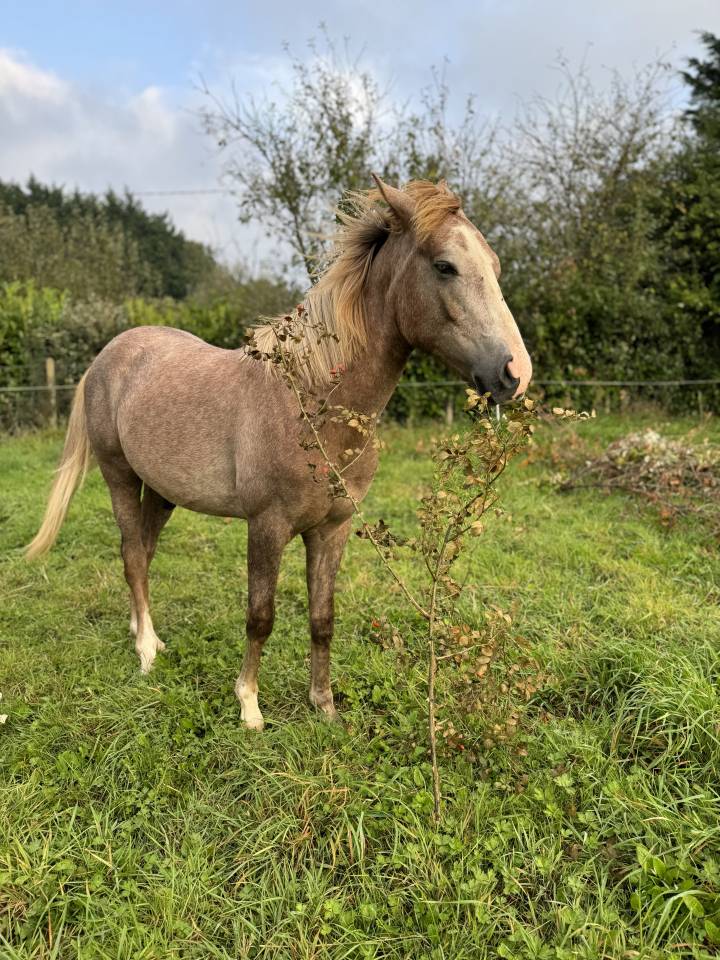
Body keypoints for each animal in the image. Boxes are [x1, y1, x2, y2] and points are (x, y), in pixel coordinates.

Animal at [25, 176, 532, 730]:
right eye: (444, 266)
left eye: (495, 267)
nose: (516, 374)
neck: (313, 406)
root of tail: (109, 354)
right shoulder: (266, 526)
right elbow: (261, 616)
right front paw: (249, 706)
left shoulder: (331, 529)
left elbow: (322, 618)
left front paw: (324, 706)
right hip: (118, 474)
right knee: (133, 556)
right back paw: (145, 654)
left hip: (161, 491)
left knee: (144, 551)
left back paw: (150, 636)